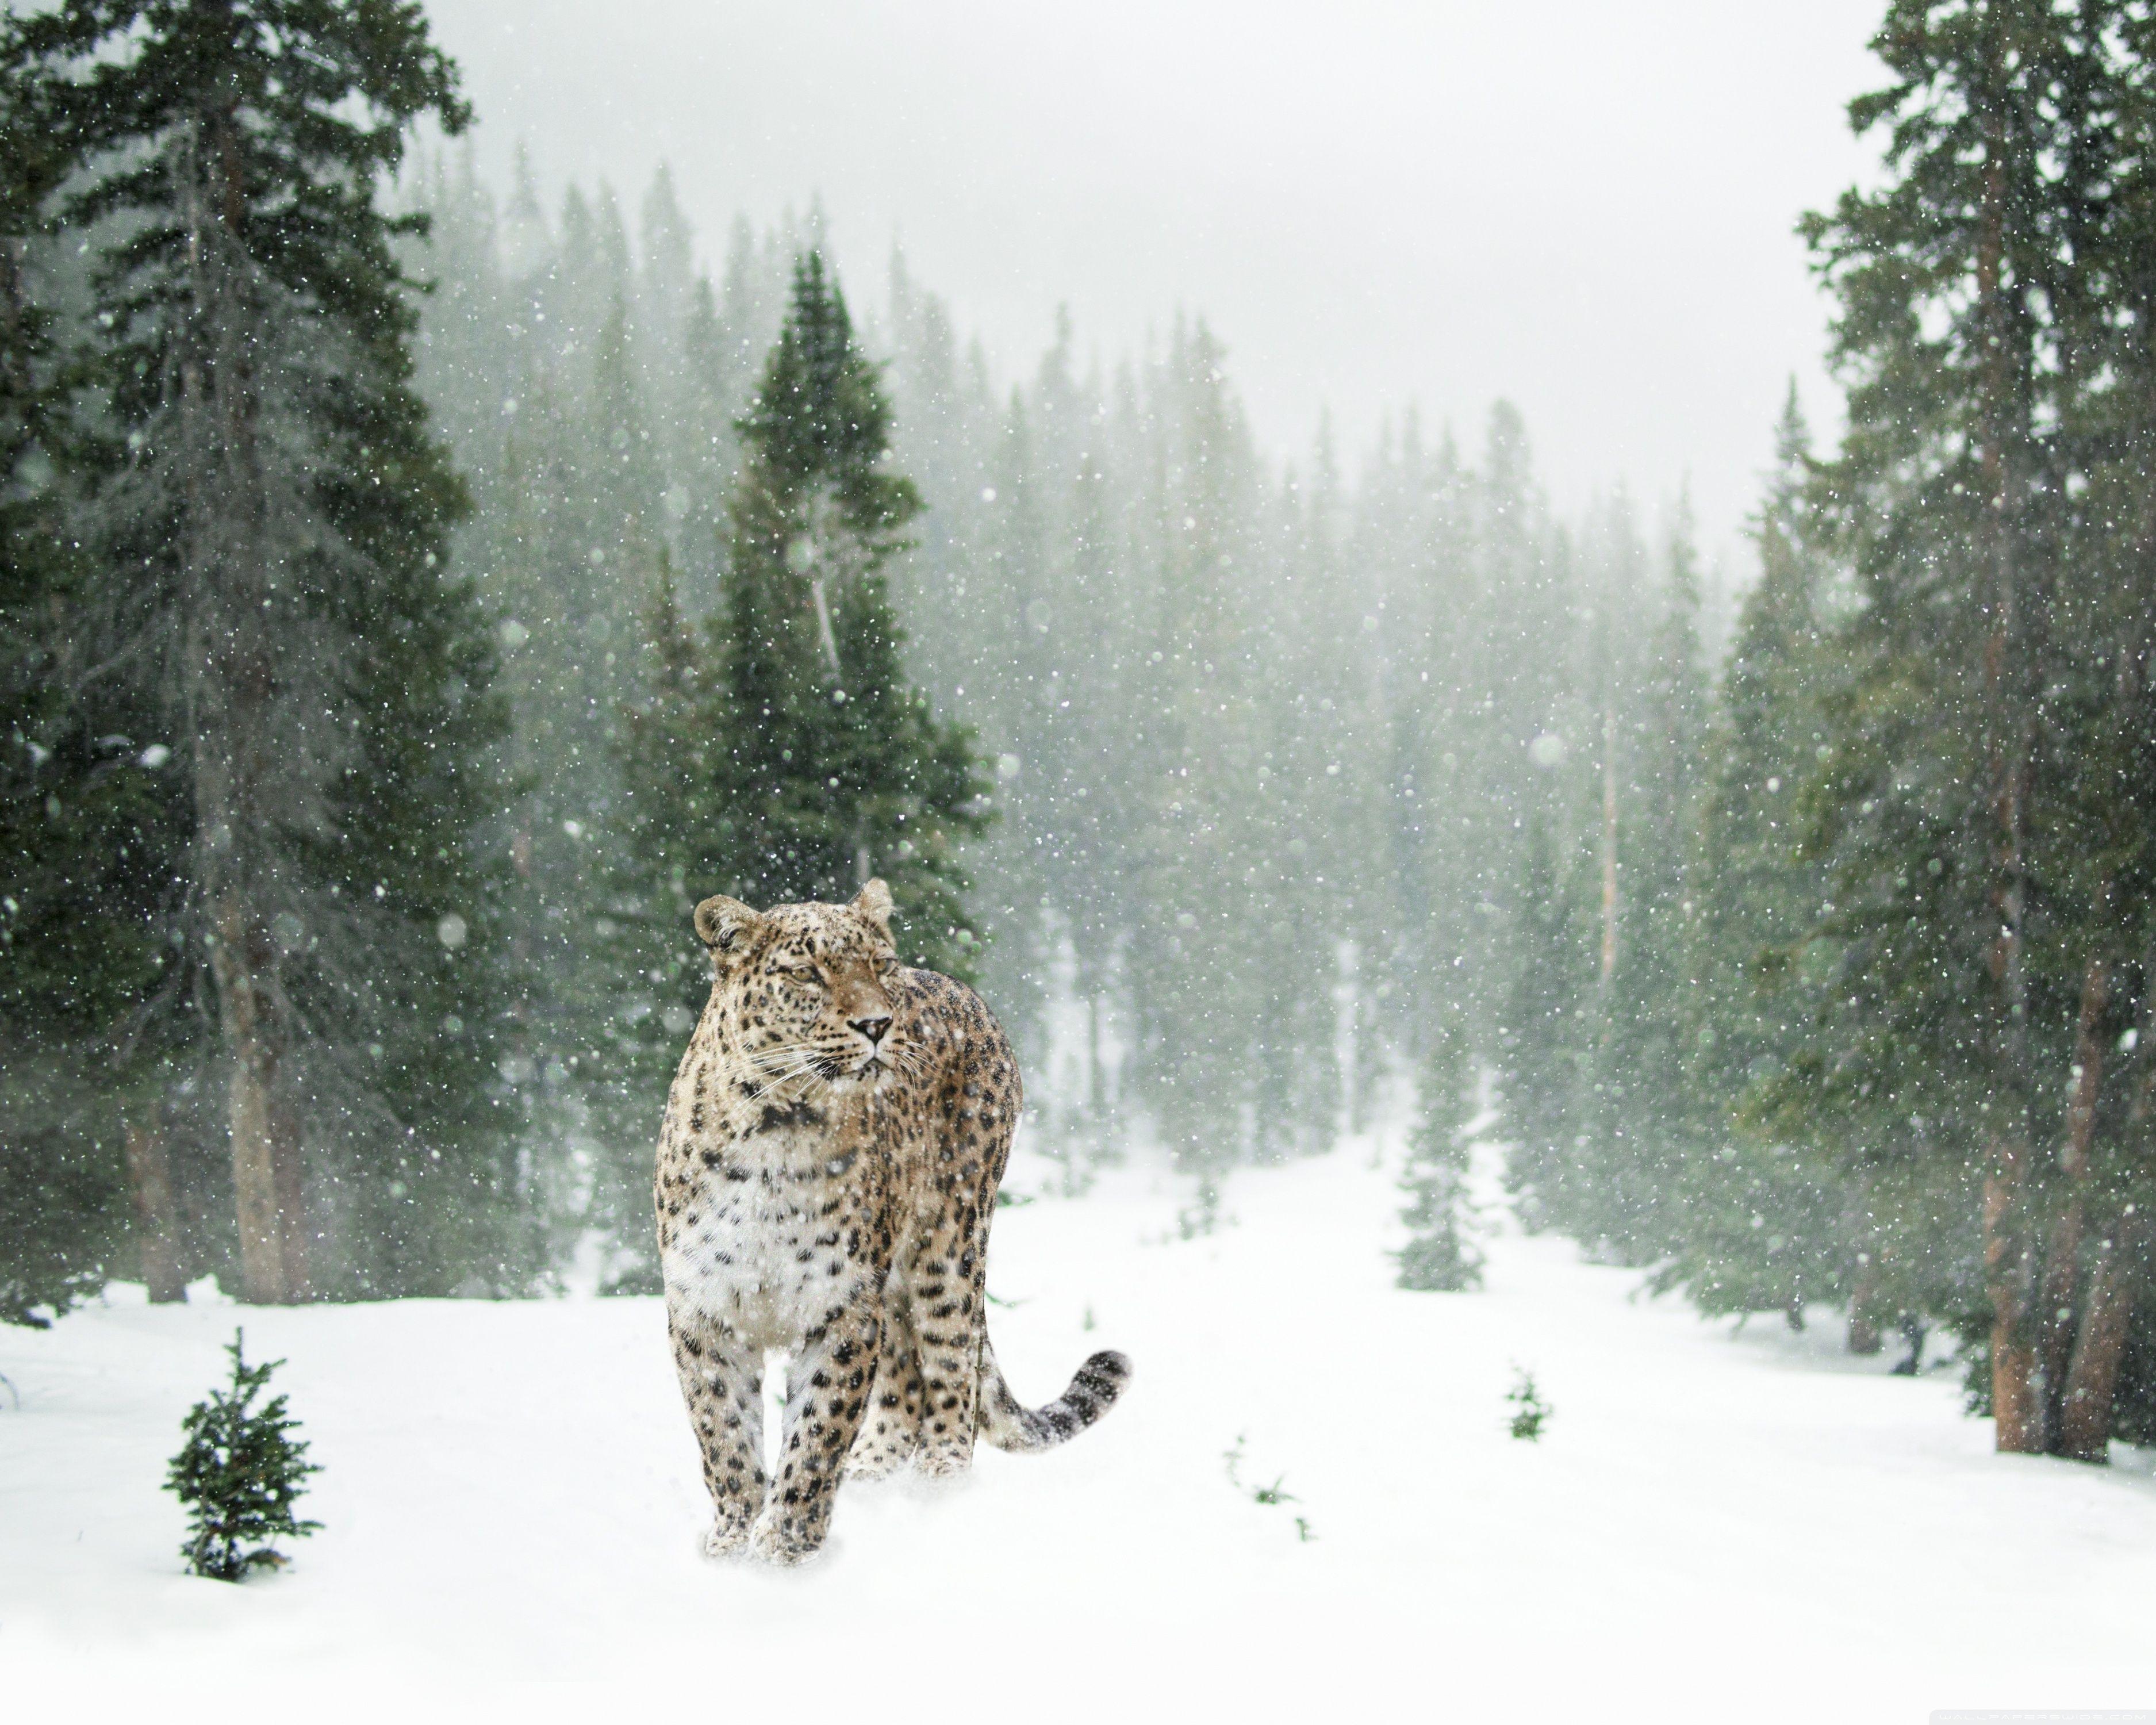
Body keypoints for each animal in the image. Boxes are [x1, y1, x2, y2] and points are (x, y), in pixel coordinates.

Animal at [654, 877, 1131, 1565]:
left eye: (879, 966)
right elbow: (725, 1436)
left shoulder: (842, 1307)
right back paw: (875, 1477)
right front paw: (732, 1543)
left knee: (951, 1368)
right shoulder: (706, 1309)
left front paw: (784, 1549)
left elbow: (817, 1434)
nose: (878, 1024)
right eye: (806, 973)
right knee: (906, 1375)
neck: (778, 1129)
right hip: (899, 1281)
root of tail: (965, 992)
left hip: (949, 1245)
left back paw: (937, 1488)